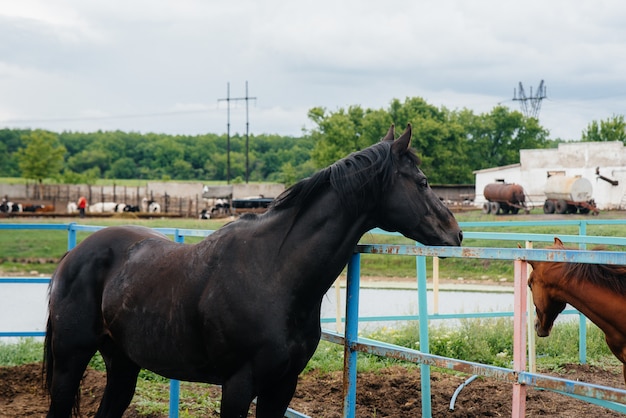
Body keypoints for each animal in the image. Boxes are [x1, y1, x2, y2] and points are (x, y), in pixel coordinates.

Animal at [44, 124, 460, 418]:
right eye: (422, 182)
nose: (455, 233)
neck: (273, 273)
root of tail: (73, 256)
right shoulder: (238, 386)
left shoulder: (282, 386)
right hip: (70, 363)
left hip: (122, 365)